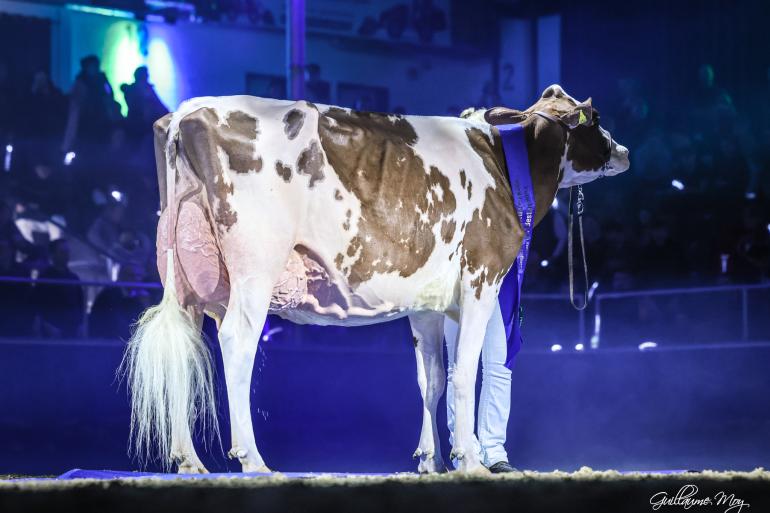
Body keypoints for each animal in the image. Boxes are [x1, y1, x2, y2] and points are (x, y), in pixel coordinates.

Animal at [123, 83, 632, 472]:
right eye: (595, 117)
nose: (625, 151)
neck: (505, 164)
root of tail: (188, 111)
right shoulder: (481, 279)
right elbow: (466, 372)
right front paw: (468, 459)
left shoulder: (429, 303)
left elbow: (433, 378)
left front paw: (431, 459)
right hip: (255, 268)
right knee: (236, 343)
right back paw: (253, 460)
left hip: (184, 276)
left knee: (185, 344)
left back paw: (189, 460)